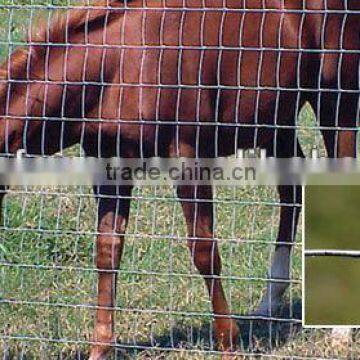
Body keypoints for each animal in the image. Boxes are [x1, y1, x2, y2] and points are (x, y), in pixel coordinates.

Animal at [0, 1, 358, 358]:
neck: (119, 65)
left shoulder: (189, 156)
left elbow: (203, 250)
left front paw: (228, 342)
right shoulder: (109, 164)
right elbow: (107, 250)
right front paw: (100, 349)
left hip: (335, 104)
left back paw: (339, 330)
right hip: (276, 119)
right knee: (292, 191)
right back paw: (269, 301)